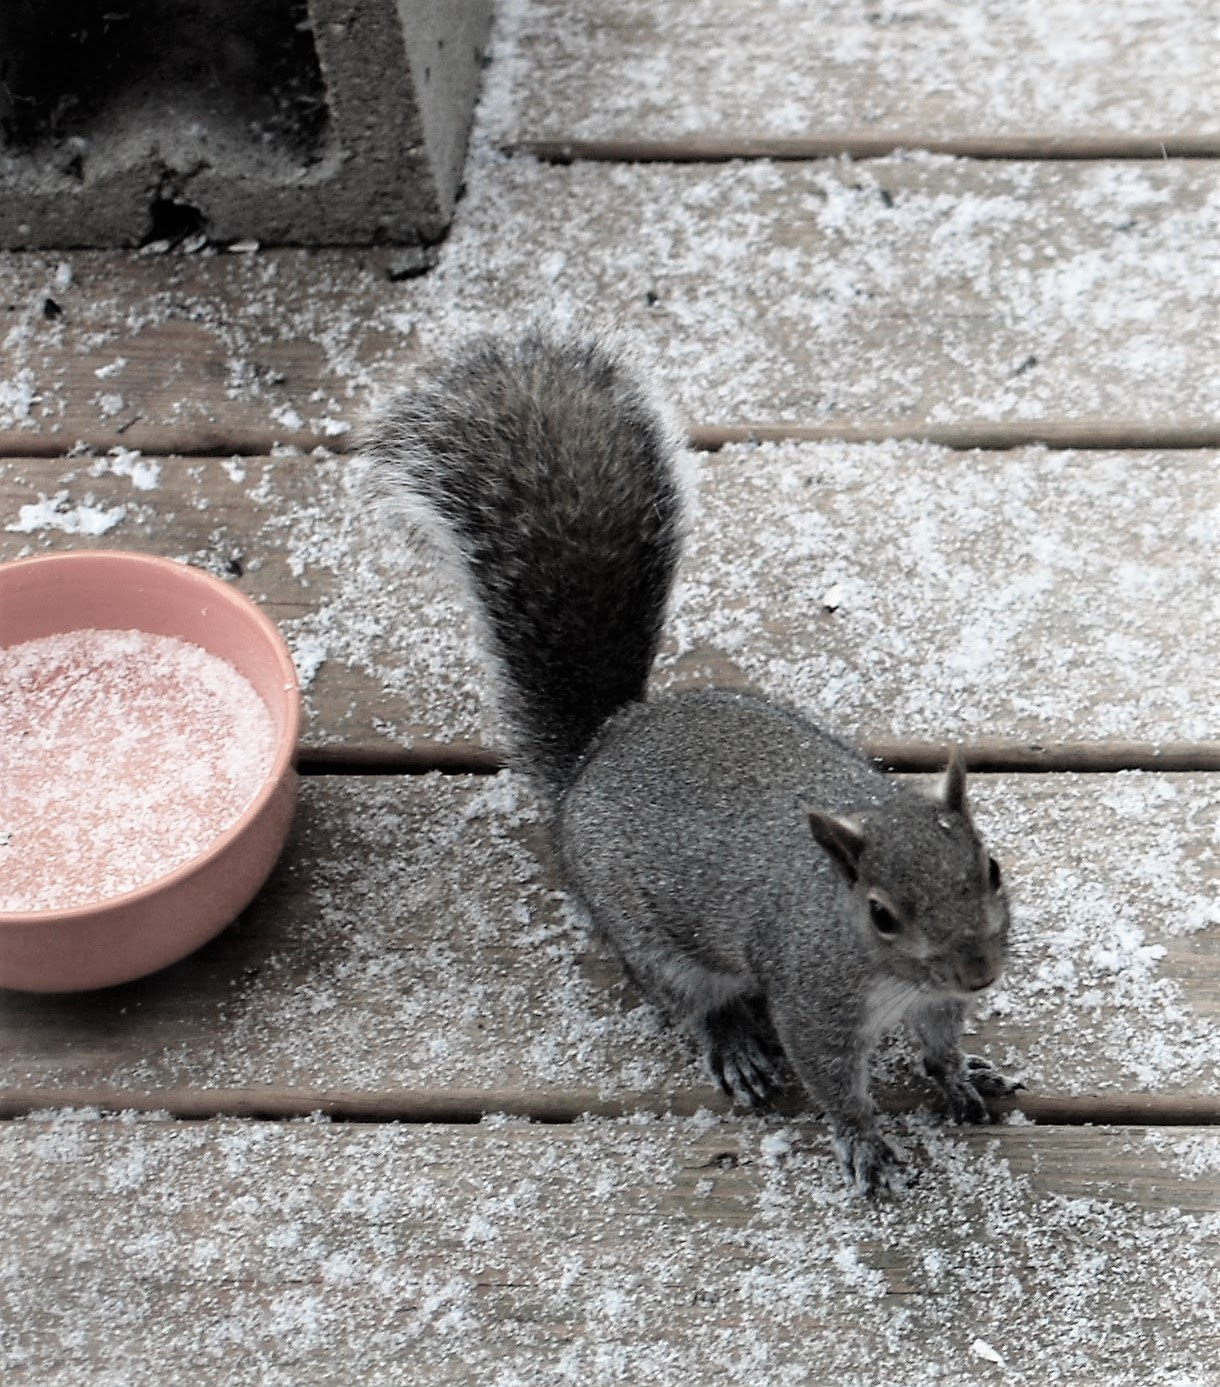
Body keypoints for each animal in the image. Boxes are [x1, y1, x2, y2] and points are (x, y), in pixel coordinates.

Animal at [366, 330, 1014, 1198]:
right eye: (881, 913)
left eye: (992, 868)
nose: (979, 970)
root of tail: (609, 741)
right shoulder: (812, 1000)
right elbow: (834, 1082)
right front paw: (865, 1141)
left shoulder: (936, 1002)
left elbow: (941, 1043)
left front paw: (960, 1076)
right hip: (654, 944)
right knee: (692, 1004)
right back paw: (733, 1044)